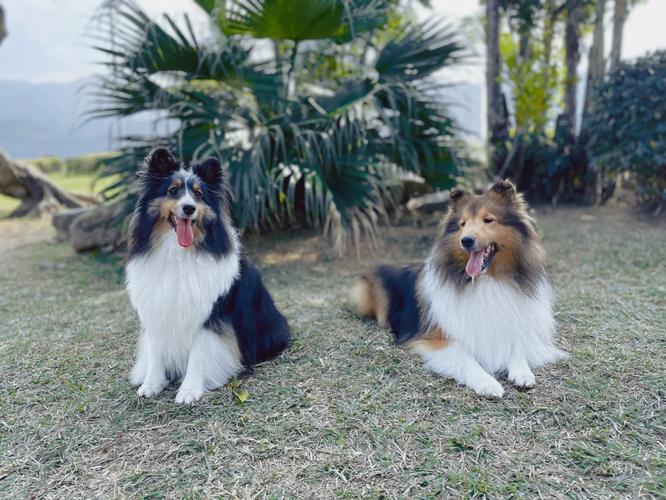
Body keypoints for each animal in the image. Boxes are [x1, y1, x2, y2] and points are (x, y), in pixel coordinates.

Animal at [126, 147, 290, 402]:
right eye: (172, 190)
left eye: (199, 195)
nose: (189, 208)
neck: (178, 254)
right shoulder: (157, 308)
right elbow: (156, 350)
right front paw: (152, 383)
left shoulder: (211, 315)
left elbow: (199, 353)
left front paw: (190, 389)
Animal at [350, 181, 564, 398]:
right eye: (463, 224)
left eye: (488, 220)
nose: (466, 240)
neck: (486, 280)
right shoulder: (438, 338)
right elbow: (466, 359)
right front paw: (487, 382)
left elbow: (517, 344)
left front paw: (522, 371)